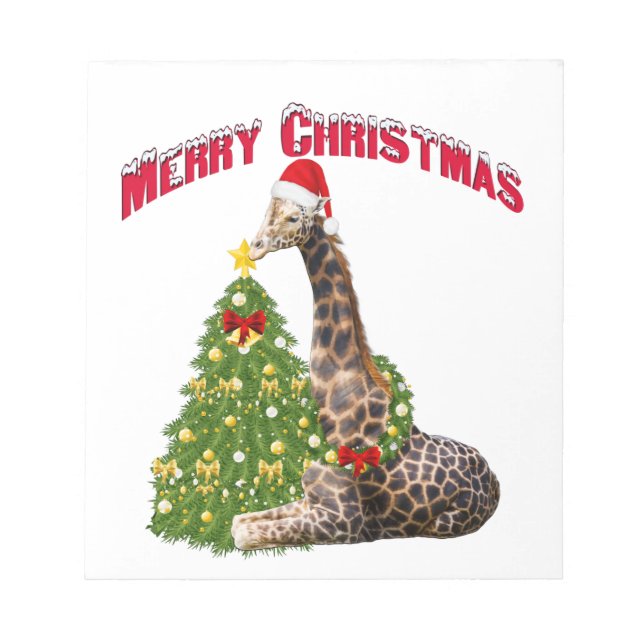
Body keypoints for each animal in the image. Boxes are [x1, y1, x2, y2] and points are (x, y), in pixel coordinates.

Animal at [230, 197, 500, 550]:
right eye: (266, 212)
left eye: (293, 218)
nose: (255, 248)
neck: (335, 400)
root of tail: (495, 480)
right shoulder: (310, 501)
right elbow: (239, 521)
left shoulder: (343, 522)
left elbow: (243, 535)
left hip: (444, 523)